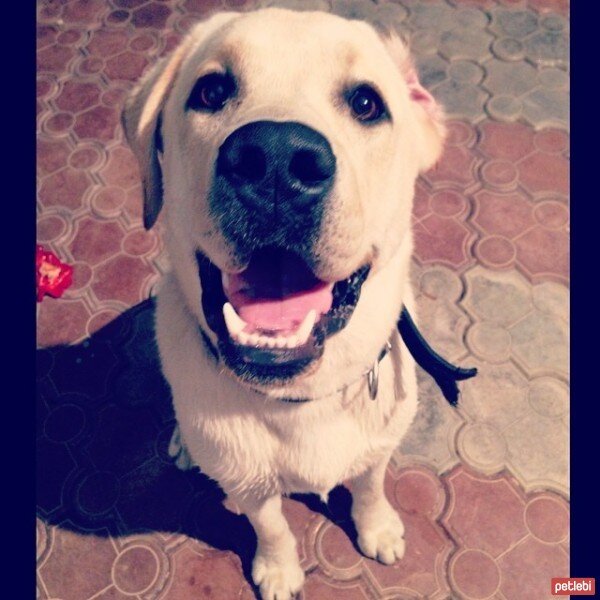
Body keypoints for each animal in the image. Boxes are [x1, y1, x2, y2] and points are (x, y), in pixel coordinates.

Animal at [122, 7, 446, 596]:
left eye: (367, 103)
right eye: (211, 90)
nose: (275, 159)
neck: (300, 399)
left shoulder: (380, 443)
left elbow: (369, 484)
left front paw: (378, 528)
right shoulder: (247, 482)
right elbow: (270, 524)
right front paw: (278, 570)